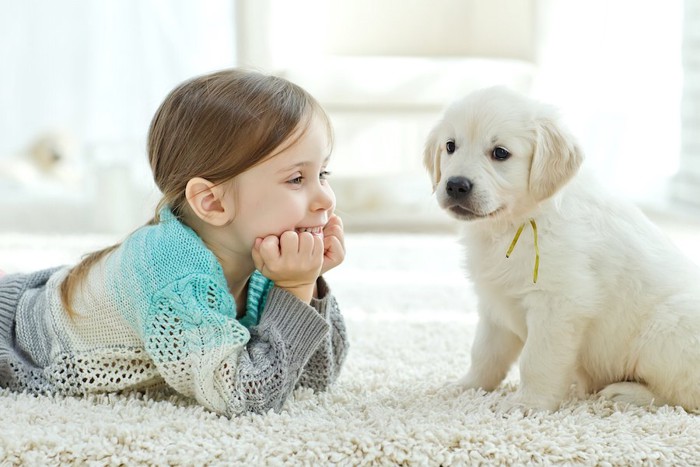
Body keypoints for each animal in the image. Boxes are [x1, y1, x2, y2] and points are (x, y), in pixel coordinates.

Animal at [424, 87, 700, 414]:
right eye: (450, 146)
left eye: (500, 153)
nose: (455, 185)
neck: (515, 224)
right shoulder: (495, 303)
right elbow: (484, 353)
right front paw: (466, 386)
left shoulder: (558, 304)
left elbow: (536, 360)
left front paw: (528, 404)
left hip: (666, 328)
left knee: (684, 396)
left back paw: (625, 393)